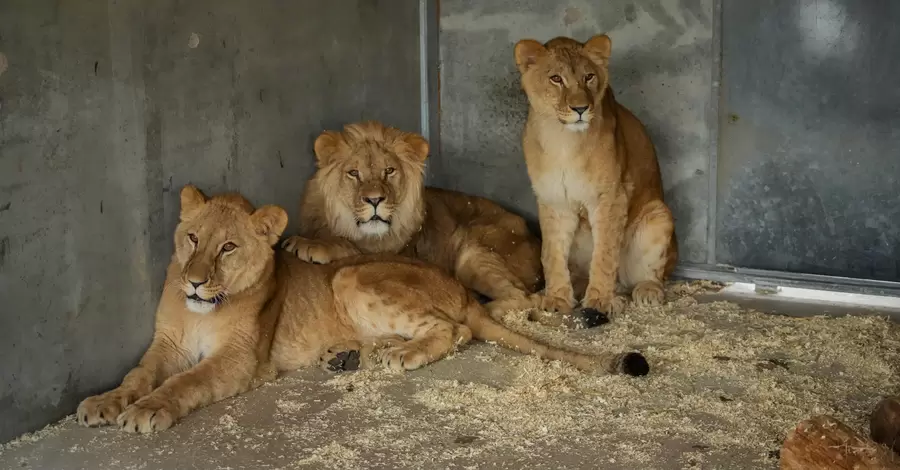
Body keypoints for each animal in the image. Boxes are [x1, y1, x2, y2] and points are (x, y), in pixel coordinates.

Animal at [77, 184, 652, 434]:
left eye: (229, 248)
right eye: (192, 238)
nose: (194, 282)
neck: (204, 310)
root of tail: (461, 288)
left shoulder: (240, 360)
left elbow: (185, 382)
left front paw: (146, 412)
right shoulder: (167, 344)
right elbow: (138, 374)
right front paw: (104, 403)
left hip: (353, 275)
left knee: (454, 331)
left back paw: (399, 355)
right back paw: (351, 354)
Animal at [282, 121, 592, 324]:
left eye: (389, 171)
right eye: (353, 173)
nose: (375, 200)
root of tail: (535, 236)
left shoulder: (394, 253)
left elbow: (347, 246)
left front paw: (307, 244)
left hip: (472, 250)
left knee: (523, 295)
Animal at [510, 34, 680, 326]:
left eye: (588, 77)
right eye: (556, 78)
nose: (580, 108)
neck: (562, 141)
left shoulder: (610, 197)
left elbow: (605, 254)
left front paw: (600, 300)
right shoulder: (553, 200)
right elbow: (552, 254)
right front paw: (557, 299)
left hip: (658, 213)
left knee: (650, 274)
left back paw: (646, 290)